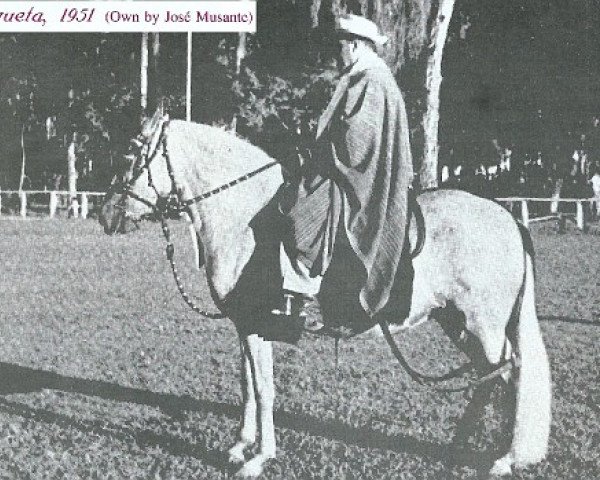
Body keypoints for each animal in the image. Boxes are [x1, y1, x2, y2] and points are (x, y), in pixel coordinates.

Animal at [101, 111, 552, 476]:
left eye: (131, 155)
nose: (105, 214)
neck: (246, 221)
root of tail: (508, 217)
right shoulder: (245, 326)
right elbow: (247, 384)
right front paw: (240, 445)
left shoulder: (258, 326)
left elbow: (263, 389)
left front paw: (259, 458)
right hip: (457, 323)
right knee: (489, 378)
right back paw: (462, 448)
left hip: (482, 326)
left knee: (509, 376)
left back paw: (504, 458)